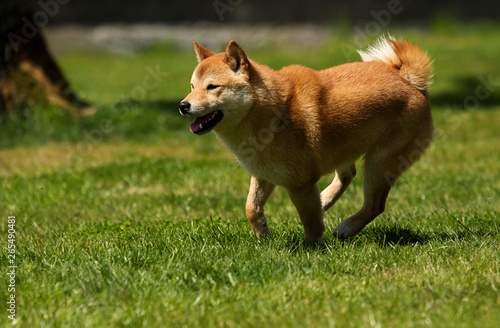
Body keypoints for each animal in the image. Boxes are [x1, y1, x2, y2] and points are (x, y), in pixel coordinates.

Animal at [180, 37, 434, 243]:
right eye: (192, 86)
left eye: (212, 87)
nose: (183, 105)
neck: (273, 112)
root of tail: (407, 80)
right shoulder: (264, 173)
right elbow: (251, 207)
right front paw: (263, 234)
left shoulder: (300, 184)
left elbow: (309, 219)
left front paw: (312, 246)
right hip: (345, 148)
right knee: (347, 176)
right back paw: (325, 200)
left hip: (379, 163)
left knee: (375, 205)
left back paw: (346, 228)